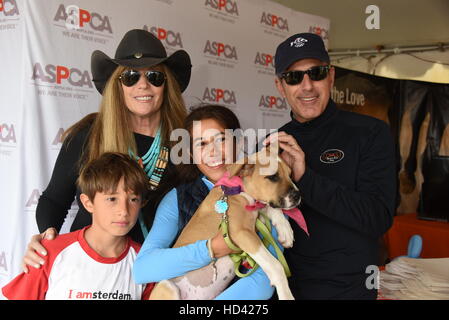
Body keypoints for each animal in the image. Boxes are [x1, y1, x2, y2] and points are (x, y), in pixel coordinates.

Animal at [149, 145, 300, 300]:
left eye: (290, 174)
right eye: (273, 177)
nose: (298, 196)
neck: (239, 189)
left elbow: (270, 208)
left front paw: (285, 231)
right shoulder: (242, 233)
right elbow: (276, 266)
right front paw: (286, 295)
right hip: (168, 286)